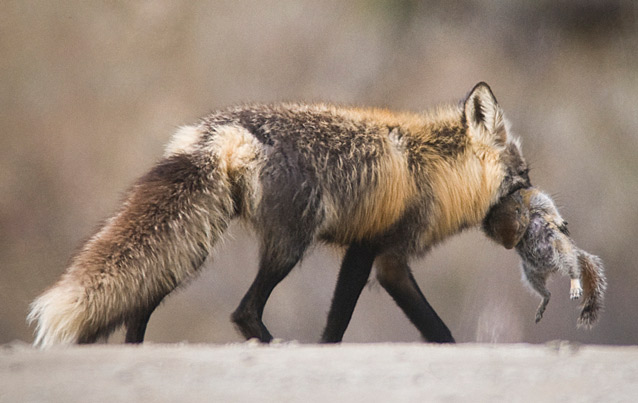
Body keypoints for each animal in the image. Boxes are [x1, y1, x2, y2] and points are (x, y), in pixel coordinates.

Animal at [27, 82, 532, 348]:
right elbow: (395, 324)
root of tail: (220, 130)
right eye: (525, 178)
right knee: (244, 311)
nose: (542, 215)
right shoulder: (380, 254)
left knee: (140, 305)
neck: (435, 167)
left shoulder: (372, 253)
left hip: (192, 244)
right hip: (287, 247)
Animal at [484, 188, 608, 326]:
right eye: (496, 232)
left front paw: (559, 221)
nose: (509, 246)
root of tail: (552, 268)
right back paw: (543, 301)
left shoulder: (532, 198)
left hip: (561, 249)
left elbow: (546, 202)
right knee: (546, 293)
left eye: (519, 228)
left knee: (572, 267)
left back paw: (574, 284)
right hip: (530, 273)